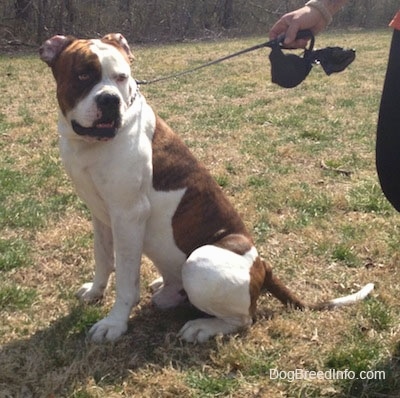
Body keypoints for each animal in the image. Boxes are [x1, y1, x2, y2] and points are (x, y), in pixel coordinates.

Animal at [39, 34, 374, 344]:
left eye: (122, 77)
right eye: (83, 75)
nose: (110, 100)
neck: (88, 145)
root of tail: (262, 265)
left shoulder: (128, 215)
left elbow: (126, 279)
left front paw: (115, 323)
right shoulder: (101, 214)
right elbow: (103, 257)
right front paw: (95, 291)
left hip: (199, 263)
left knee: (244, 318)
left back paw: (203, 327)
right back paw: (166, 290)